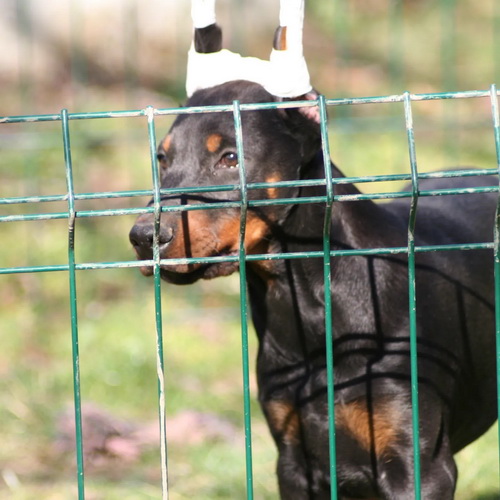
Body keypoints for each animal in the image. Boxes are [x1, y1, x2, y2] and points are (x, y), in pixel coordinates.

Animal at [128, 26, 496, 500]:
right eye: (162, 159)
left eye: (230, 158)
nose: (143, 238)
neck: (305, 302)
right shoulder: (294, 461)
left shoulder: (419, 464)